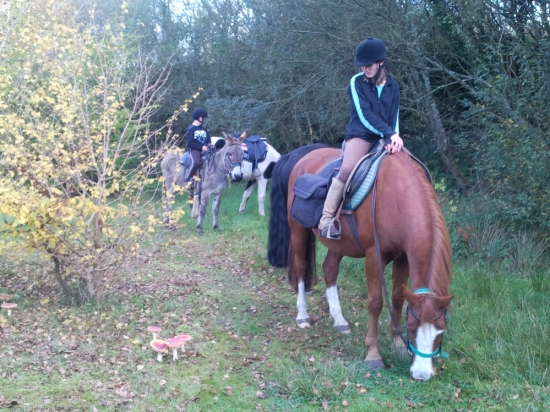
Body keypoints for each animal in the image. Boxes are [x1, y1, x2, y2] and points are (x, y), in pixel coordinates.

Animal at [270, 145, 454, 380]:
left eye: (441, 330)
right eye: (412, 327)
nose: (422, 374)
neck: (396, 196)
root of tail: (302, 158)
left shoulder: (403, 258)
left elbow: (397, 299)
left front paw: (397, 343)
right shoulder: (375, 257)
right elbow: (375, 304)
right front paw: (373, 354)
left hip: (338, 243)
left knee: (330, 270)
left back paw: (339, 319)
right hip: (298, 231)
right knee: (302, 269)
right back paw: (303, 315)